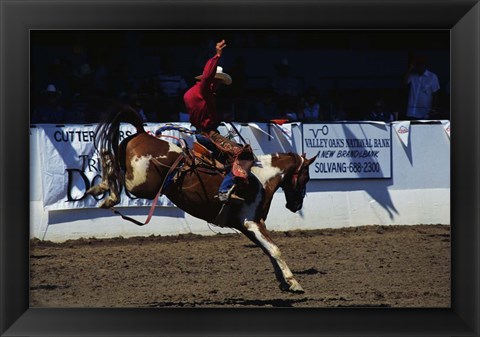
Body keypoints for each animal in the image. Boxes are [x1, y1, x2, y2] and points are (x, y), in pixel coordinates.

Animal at [86, 103, 318, 292]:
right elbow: (275, 250)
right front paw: (294, 283)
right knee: (116, 172)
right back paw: (106, 194)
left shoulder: (246, 226)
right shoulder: (252, 222)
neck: (261, 178)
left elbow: (268, 251)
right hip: (141, 184)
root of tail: (144, 134)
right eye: (305, 177)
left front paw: (284, 282)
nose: (296, 205)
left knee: (109, 156)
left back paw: (98, 189)